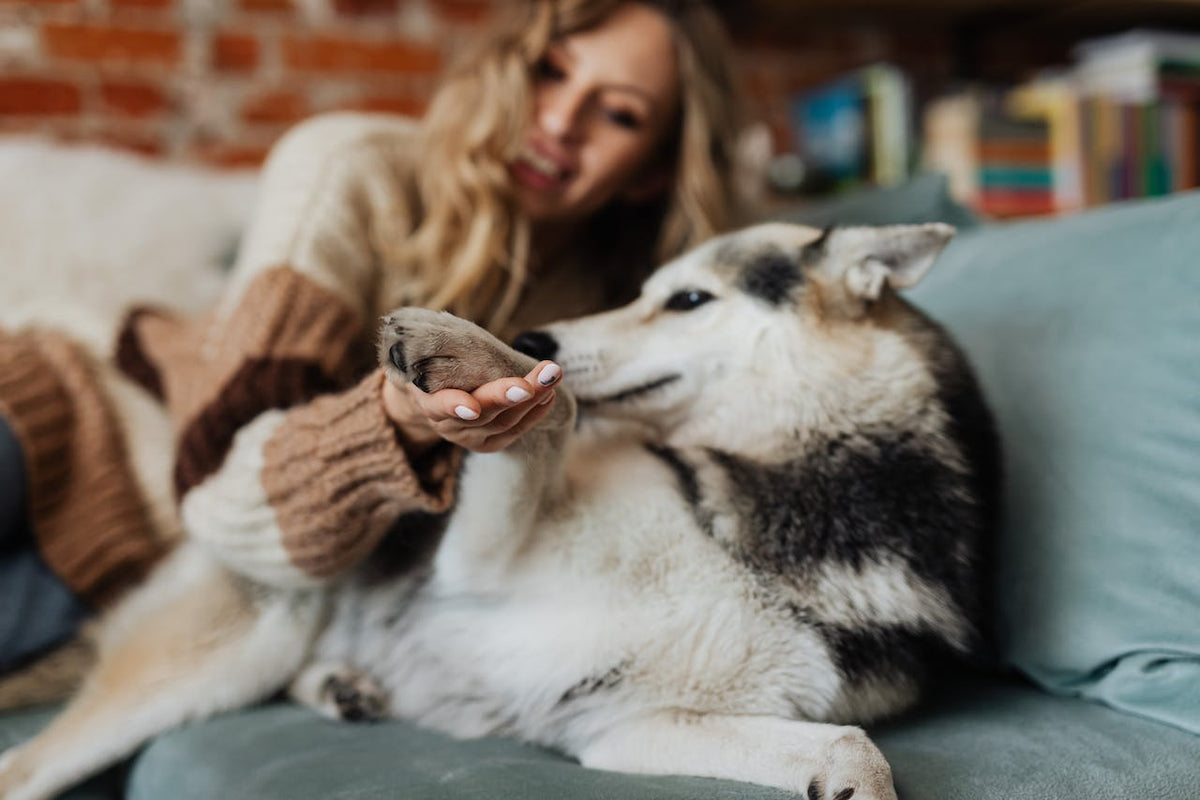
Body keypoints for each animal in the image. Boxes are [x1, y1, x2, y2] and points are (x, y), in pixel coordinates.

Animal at [0, 224, 1003, 800]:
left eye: (686, 299)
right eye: (647, 289)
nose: (532, 333)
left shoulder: (624, 724)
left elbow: (857, 750)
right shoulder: (478, 571)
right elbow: (553, 406)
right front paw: (469, 349)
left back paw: (345, 688)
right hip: (235, 646)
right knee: (25, 767)